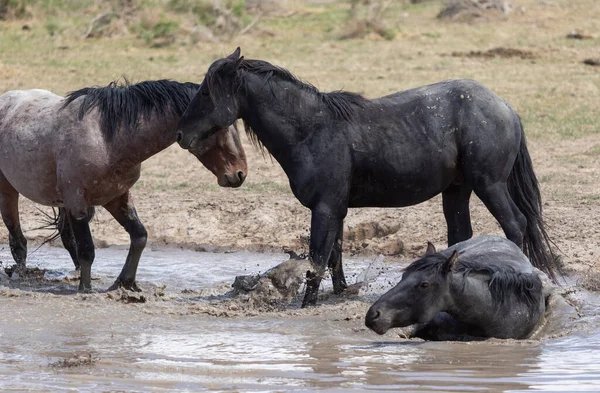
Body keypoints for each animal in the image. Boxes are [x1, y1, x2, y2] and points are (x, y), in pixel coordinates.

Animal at [0, 79, 248, 290]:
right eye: (219, 125)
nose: (239, 173)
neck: (109, 139)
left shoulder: (116, 197)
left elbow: (139, 236)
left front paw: (124, 283)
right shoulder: (77, 202)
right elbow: (88, 249)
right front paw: (85, 290)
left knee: (64, 237)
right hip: (8, 189)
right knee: (18, 240)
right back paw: (20, 275)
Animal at [176, 48, 560, 306]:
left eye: (207, 91)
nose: (180, 134)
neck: (312, 130)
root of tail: (506, 108)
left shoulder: (325, 208)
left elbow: (316, 260)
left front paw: (306, 305)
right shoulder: (336, 209)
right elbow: (334, 257)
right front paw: (340, 294)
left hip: (489, 183)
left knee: (516, 224)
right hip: (457, 190)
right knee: (461, 235)